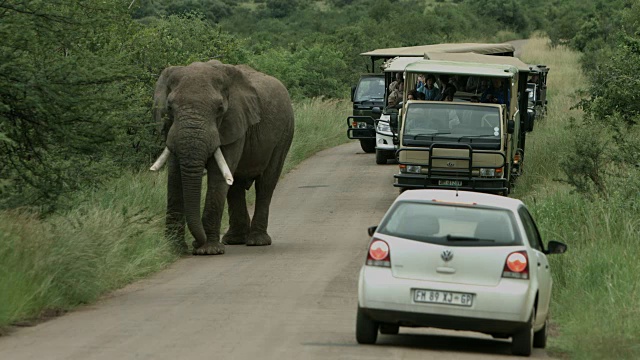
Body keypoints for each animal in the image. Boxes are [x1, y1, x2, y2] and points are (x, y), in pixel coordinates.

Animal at [152, 60, 296, 255]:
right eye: (169, 107)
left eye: (220, 109)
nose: (195, 244)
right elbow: (174, 176)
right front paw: (174, 249)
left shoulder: (234, 123)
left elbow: (217, 174)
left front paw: (208, 251)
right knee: (235, 186)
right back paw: (234, 240)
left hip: (285, 133)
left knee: (266, 183)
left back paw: (257, 241)